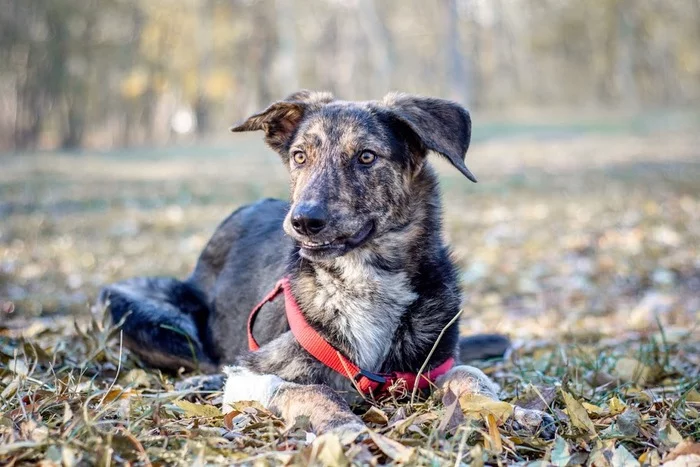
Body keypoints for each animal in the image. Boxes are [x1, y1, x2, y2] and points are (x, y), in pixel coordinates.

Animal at [101, 90, 556, 438]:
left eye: (367, 157)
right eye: (300, 156)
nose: (303, 221)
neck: (363, 280)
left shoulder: (431, 368)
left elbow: (471, 375)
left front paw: (514, 412)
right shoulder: (254, 374)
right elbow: (309, 390)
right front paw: (343, 425)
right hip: (140, 314)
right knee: (208, 361)